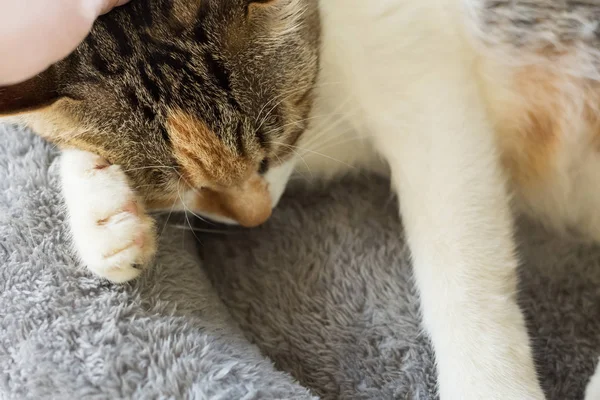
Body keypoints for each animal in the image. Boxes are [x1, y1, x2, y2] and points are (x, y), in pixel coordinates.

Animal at [1, 0, 600, 398]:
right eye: (188, 187)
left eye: (270, 147)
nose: (257, 217)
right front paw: (104, 211)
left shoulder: (422, 81)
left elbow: (461, 271)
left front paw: (490, 383)